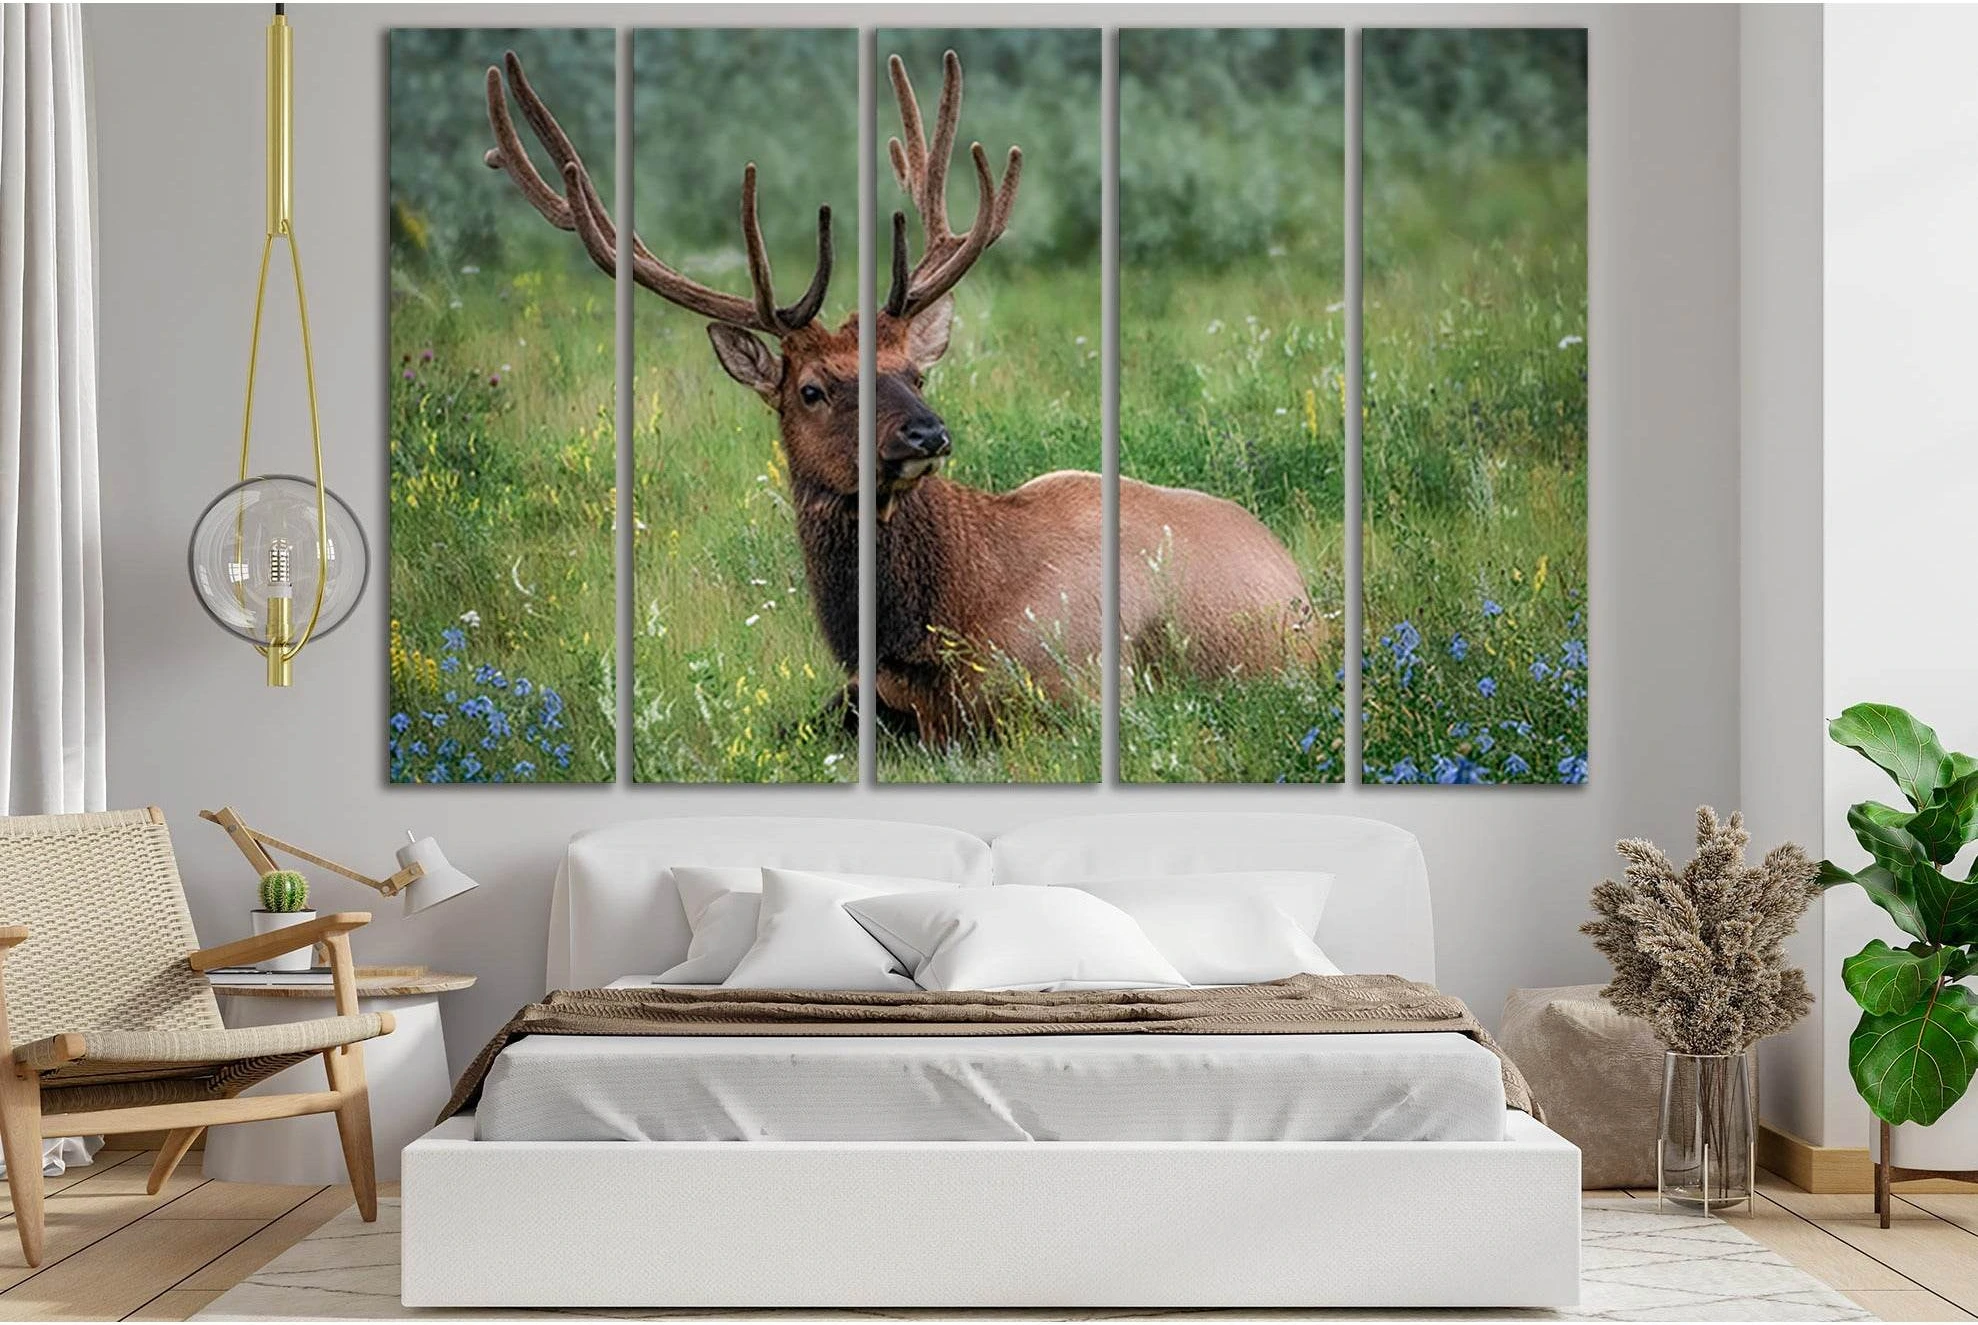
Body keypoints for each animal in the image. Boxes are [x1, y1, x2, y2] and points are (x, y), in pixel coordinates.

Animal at [484, 50, 1319, 746]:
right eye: (813, 389)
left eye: (913, 373)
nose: (927, 435)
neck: (926, 629)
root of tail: (1300, 580)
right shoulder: (866, 690)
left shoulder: (1081, 683)